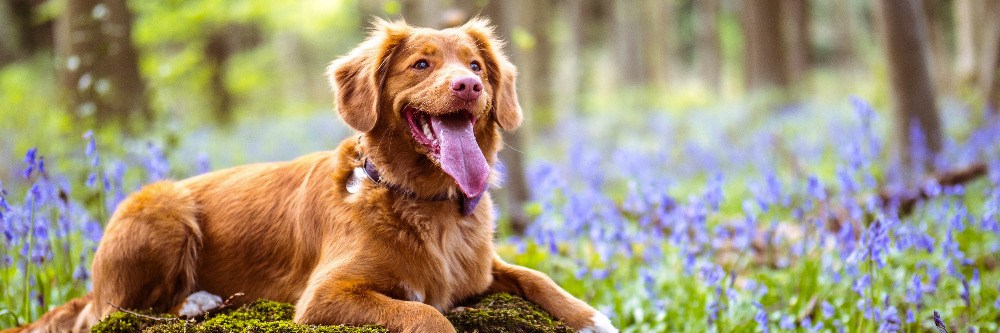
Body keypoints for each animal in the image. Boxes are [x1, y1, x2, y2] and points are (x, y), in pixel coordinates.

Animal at [5, 19, 616, 332]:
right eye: (421, 64)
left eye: (475, 66)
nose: (468, 86)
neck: (426, 202)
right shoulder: (325, 295)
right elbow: (425, 314)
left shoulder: (480, 269)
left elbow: (536, 276)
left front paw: (591, 317)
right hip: (161, 208)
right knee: (119, 311)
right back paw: (198, 302)